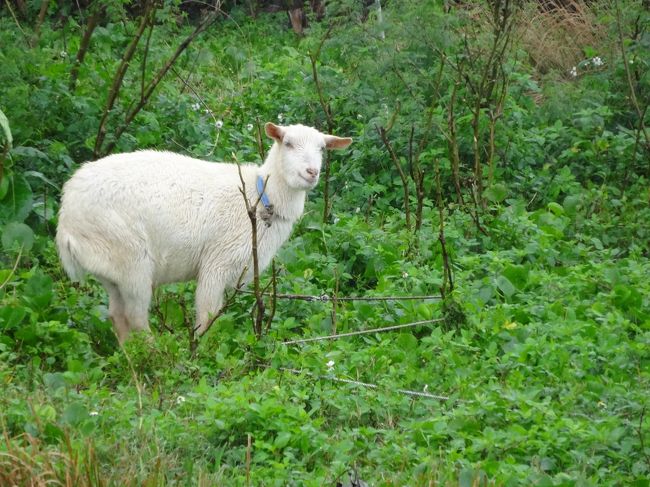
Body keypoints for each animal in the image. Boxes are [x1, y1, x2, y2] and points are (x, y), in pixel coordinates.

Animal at [57, 122, 350, 344]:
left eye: (322, 148)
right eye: (287, 143)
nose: (312, 172)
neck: (260, 196)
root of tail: (66, 217)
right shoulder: (217, 263)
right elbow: (208, 316)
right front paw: (203, 348)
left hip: (110, 266)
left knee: (118, 316)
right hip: (130, 256)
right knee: (135, 317)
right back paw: (157, 355)